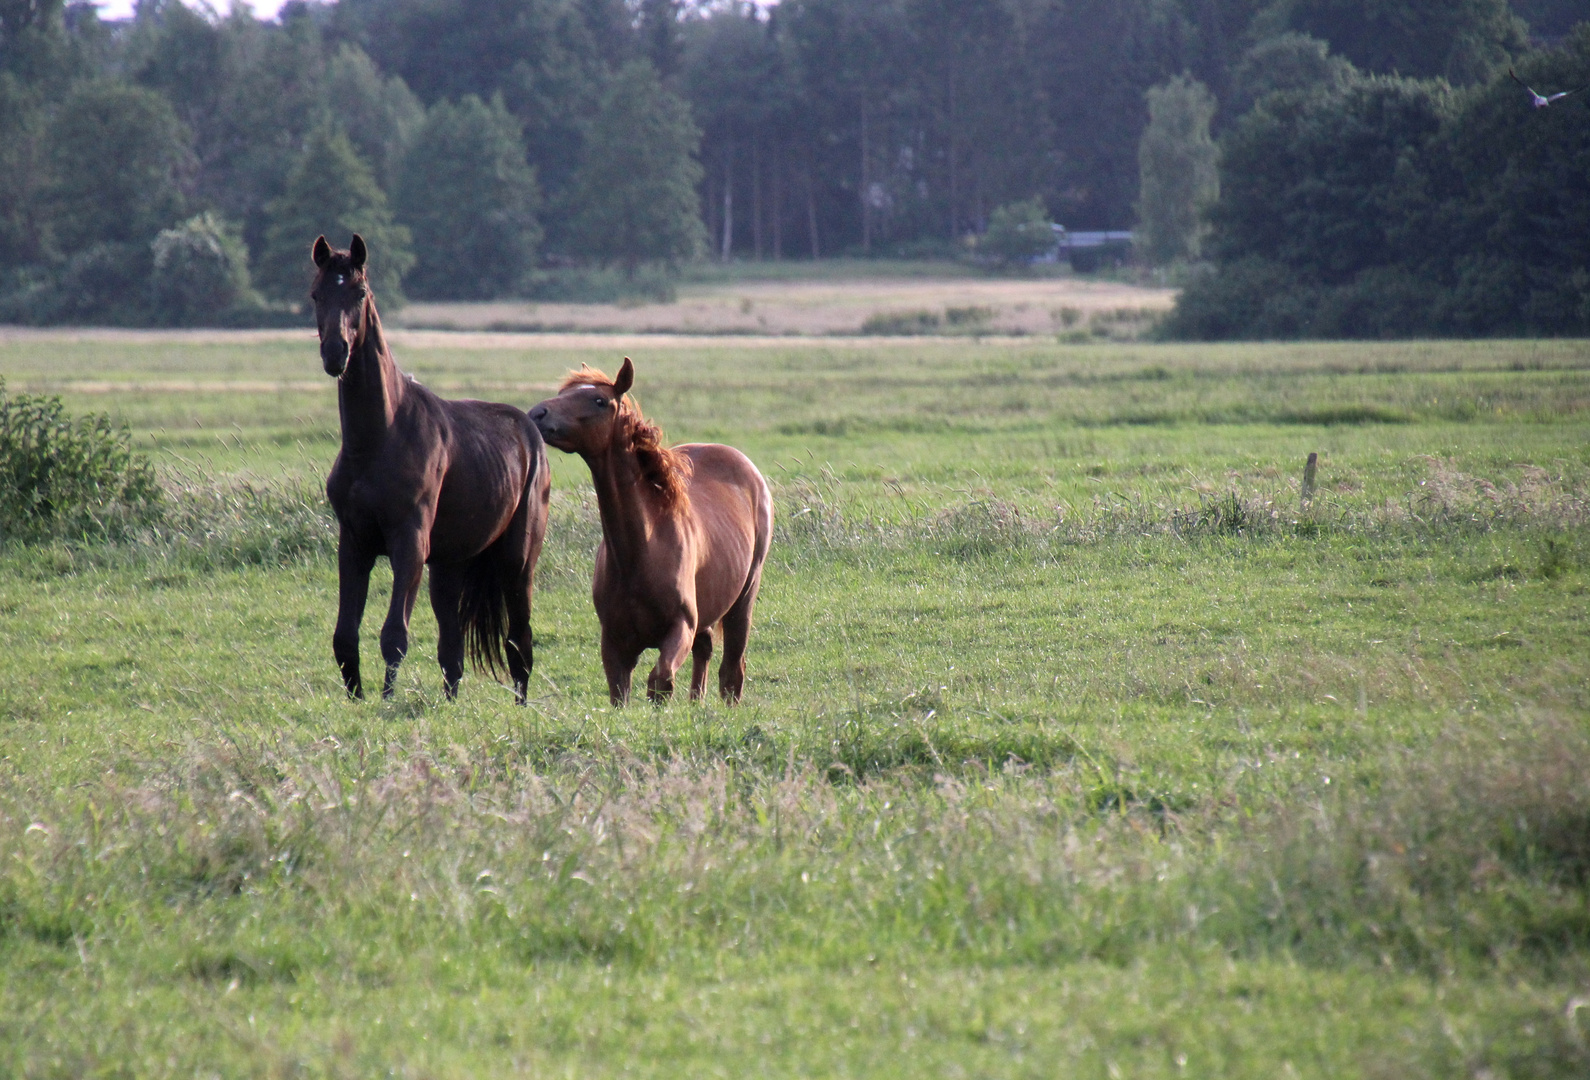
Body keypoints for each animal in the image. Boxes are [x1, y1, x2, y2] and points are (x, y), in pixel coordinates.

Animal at [310, 235, 553, 706]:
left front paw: (385, 699)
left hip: (516, 563)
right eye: (316, 294)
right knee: (452, 649)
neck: (378, 439)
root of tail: (531, 433)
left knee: (519, 641)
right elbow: (345, 636)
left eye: (360, 293)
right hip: (449, 566)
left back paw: (521, 703)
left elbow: (394, 635)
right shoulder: (355, 544)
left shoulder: (410, 544)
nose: (335, 354)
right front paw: (357, 698)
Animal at [531, 359, 772, 706]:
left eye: (599, 400)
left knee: (731, 671)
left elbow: (660, 683)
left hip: (744, 596)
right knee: (705, 653)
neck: (644, 548)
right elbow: (621, 693)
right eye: (562, 393)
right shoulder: (614, 644)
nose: (537, 413)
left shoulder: (680, 628)